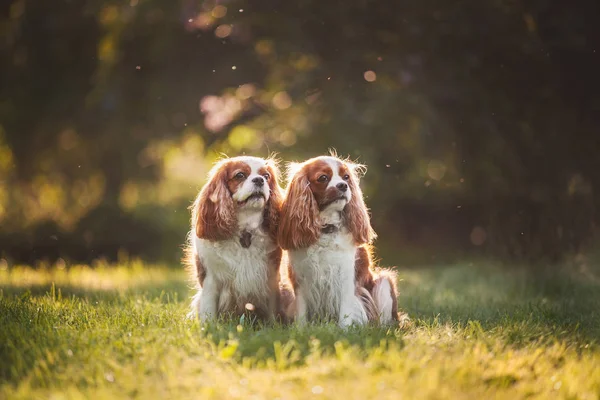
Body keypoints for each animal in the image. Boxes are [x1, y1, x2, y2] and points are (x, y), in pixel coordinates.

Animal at [184, 155, 288, 322]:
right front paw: (208, 325)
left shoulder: (271, 276)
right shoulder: (210, 279)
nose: (259, 180)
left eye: (267, 176)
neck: (245, 230)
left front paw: (275, 325)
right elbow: (208, 309)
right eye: (240, 175)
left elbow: (273, 308)